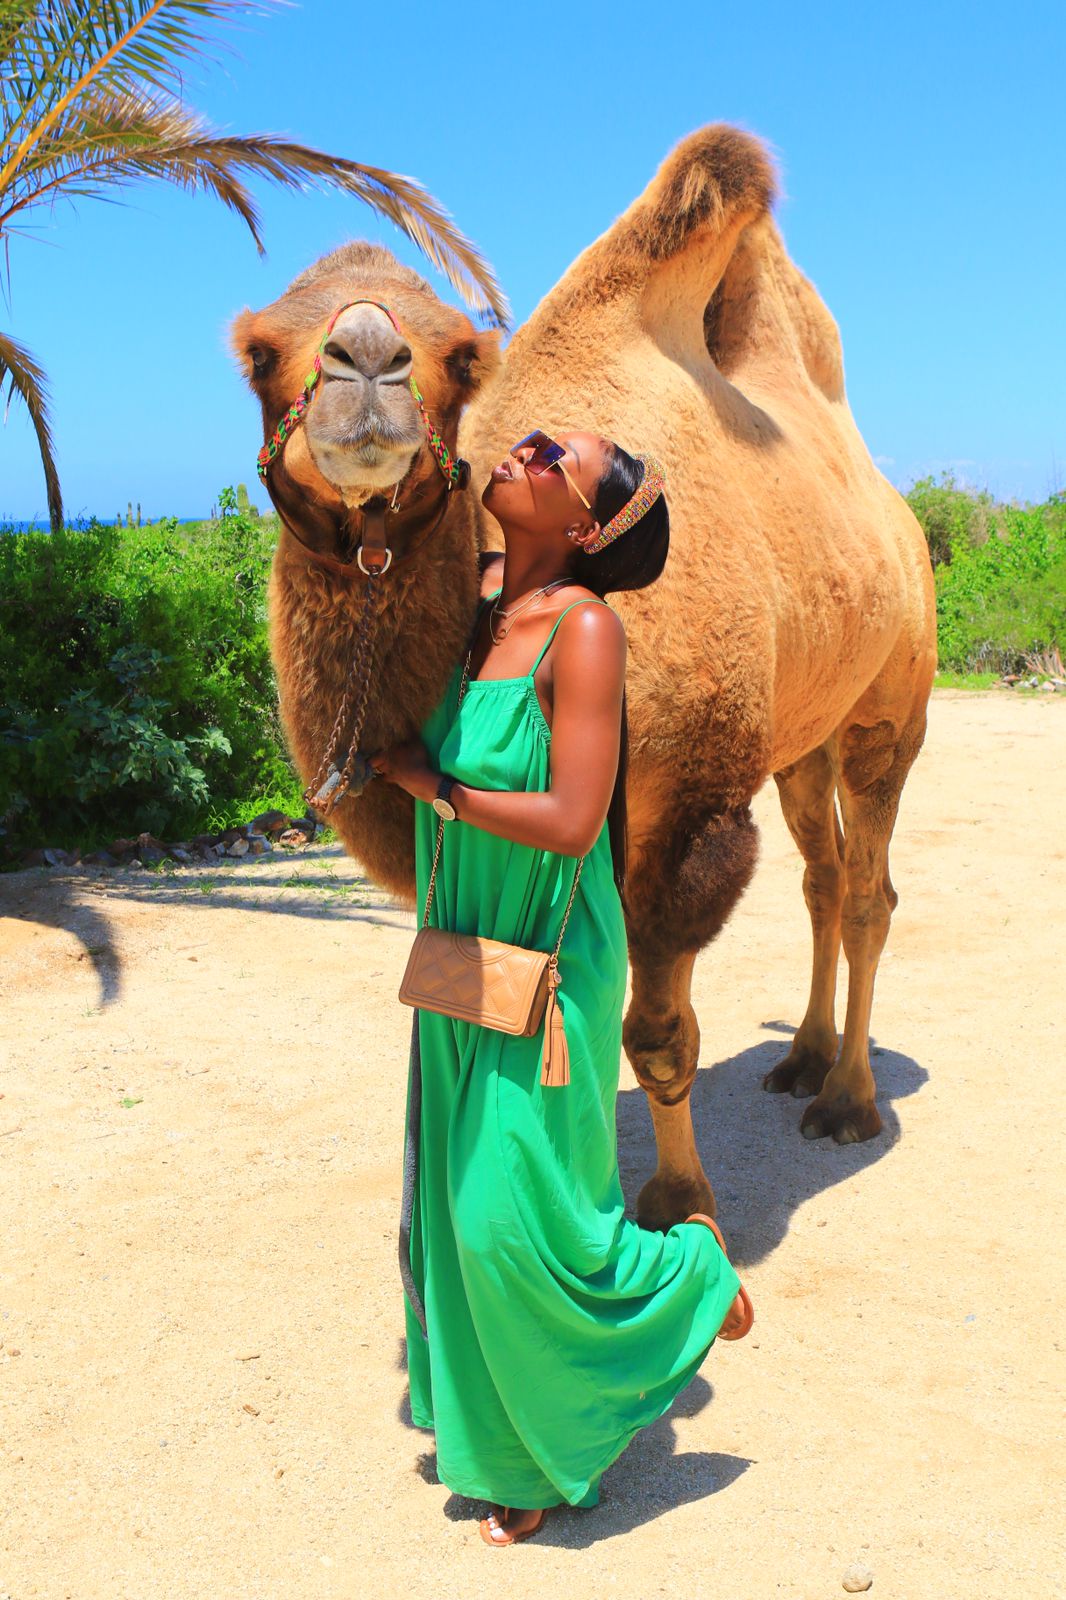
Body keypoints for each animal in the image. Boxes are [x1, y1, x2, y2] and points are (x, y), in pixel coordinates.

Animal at [231, 124, 936, 1232]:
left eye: (457, 354)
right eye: (259, 354)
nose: (367, 362)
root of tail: (903, 520)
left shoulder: (689, 811)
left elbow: (655, 1031)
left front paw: (678, 1202)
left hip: (890, 703)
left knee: (869, 886)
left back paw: (847, 1102)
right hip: (799, 732)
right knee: (823, 877)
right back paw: (802, 1058)